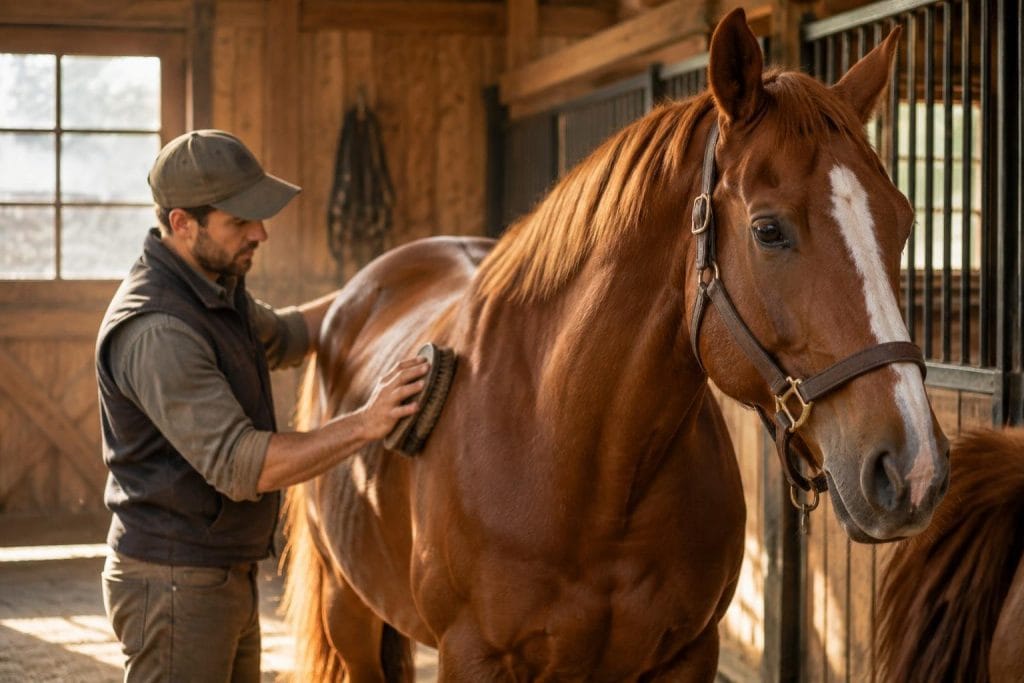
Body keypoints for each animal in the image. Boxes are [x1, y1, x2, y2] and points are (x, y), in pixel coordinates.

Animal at [283, 8, 950, 681]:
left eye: (904, 222)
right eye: (768, 230)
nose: (913, 468)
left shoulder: (688, 652)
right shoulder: (472, 655)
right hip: (348, 609)